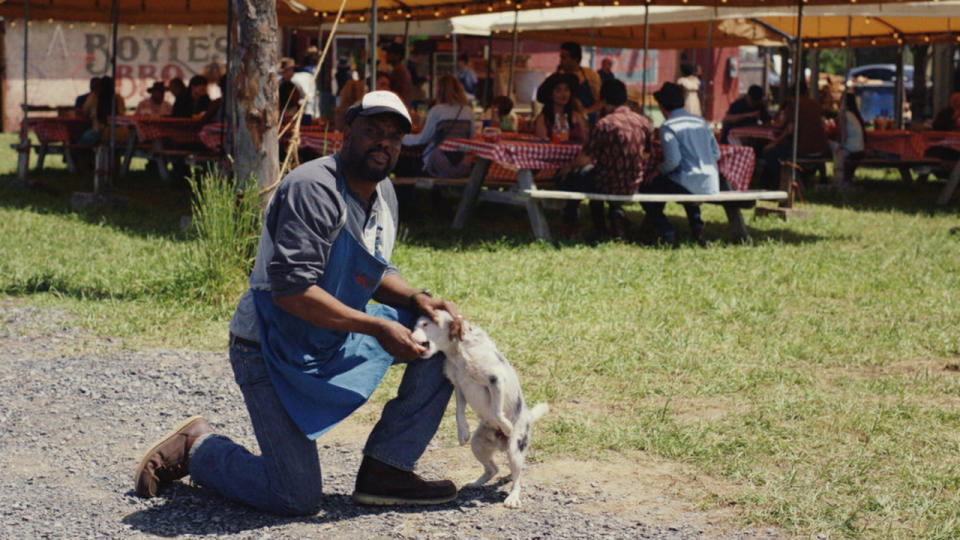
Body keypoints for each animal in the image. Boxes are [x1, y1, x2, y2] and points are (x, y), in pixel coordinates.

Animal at [410, 310, 548, 508]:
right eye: (415, 325)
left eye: (425, 324)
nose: (409, 336)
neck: (457, 354)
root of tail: (528, 416)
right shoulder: (459, 386)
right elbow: (459, 412)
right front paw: (463, 433)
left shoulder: (495, 379)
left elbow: (497, 411)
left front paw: (506, 426)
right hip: (478, 445)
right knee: (493, 469)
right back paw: (475, 483)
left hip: (515, 449)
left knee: (517, 479)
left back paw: (512, 498)